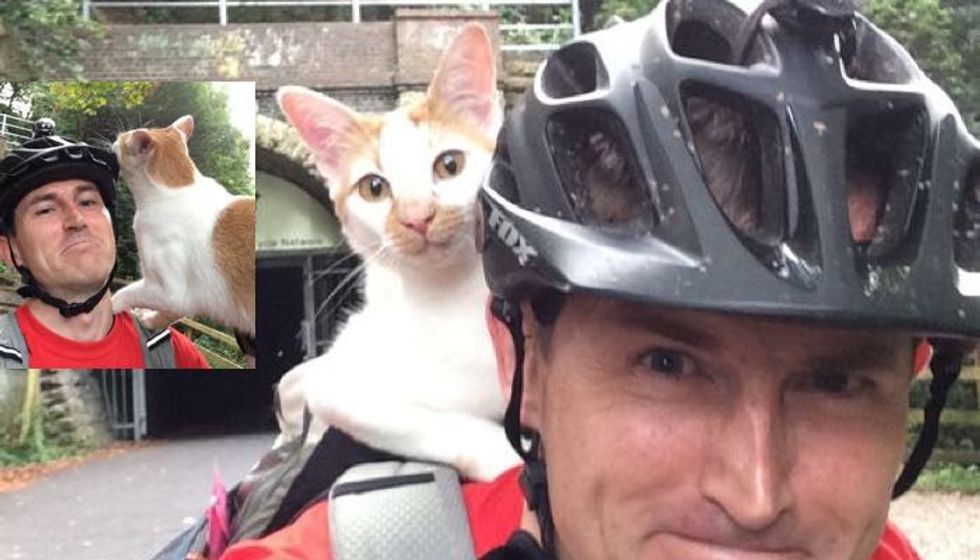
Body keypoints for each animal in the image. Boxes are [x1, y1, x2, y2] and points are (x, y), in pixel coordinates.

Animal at [111, 115, 256, 336]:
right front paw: (150, 320)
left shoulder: (170, 291)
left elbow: (127, 292)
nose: (114, 139)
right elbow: (173, 313)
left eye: (122, 138)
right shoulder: (190, 299)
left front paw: (111, 306)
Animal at [276, 24, 520, 482]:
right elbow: (438, 424)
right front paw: (508, 460)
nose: (417, 216)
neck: (455, 295)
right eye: (374, 188)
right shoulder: (336, 389)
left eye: (449, 165)